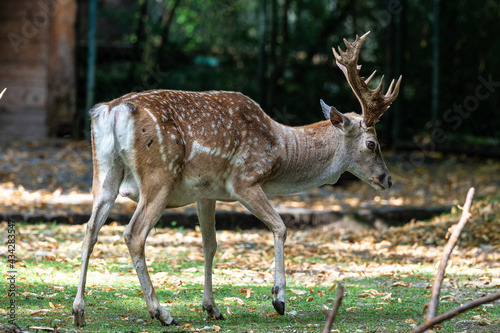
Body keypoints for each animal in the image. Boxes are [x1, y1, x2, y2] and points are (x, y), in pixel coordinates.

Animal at [73, 32, 402, 326]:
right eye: (372, 144)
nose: (387, 180)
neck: (280, 149)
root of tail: (111, 111)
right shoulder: (244, 180)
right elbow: (281, 226)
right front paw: (279, 299)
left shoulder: (206, 192)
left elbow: (210, 244)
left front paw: (212, 308)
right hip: (159, 176)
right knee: (133, 233)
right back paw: (162, 313)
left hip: (104, 173)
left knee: (90, 229)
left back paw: (79, 312)